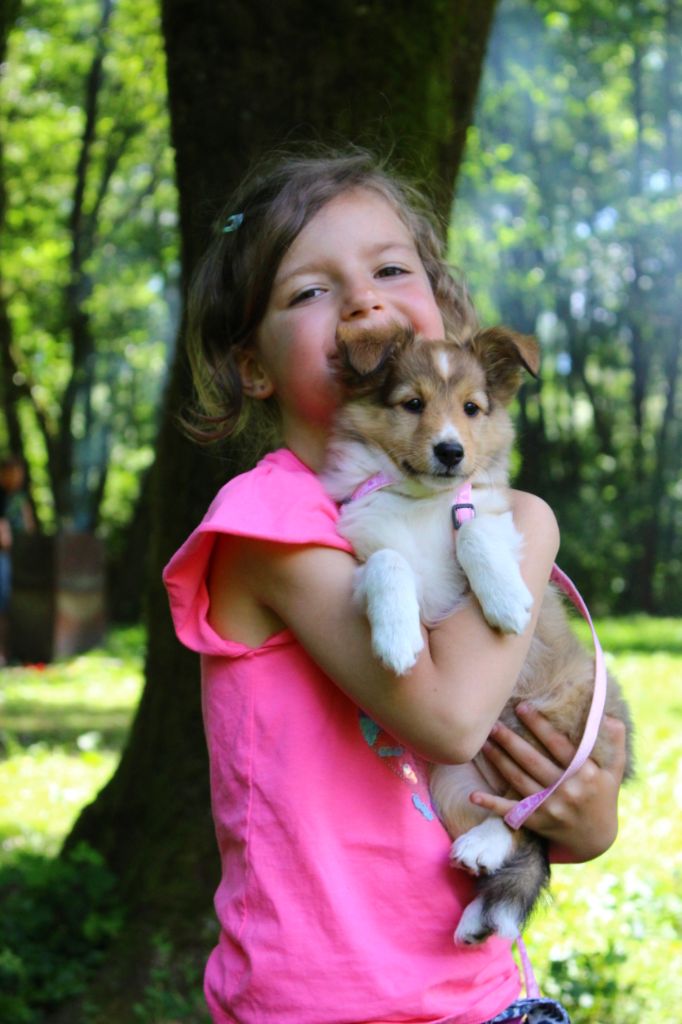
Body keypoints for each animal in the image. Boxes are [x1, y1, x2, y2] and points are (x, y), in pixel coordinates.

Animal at [321, 323, 633, 946]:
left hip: (578, 707)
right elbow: (390, 559)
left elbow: (473, 533)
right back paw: (482, 853)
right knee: (521, 820)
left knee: (534, 810)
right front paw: (396, 640)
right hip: (452, 782)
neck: (420, 499)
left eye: (472, 409)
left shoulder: (491, 517)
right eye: (412, 403)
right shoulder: (359, 554)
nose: (450, 452)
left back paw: (486, 847)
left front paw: (508, 600)